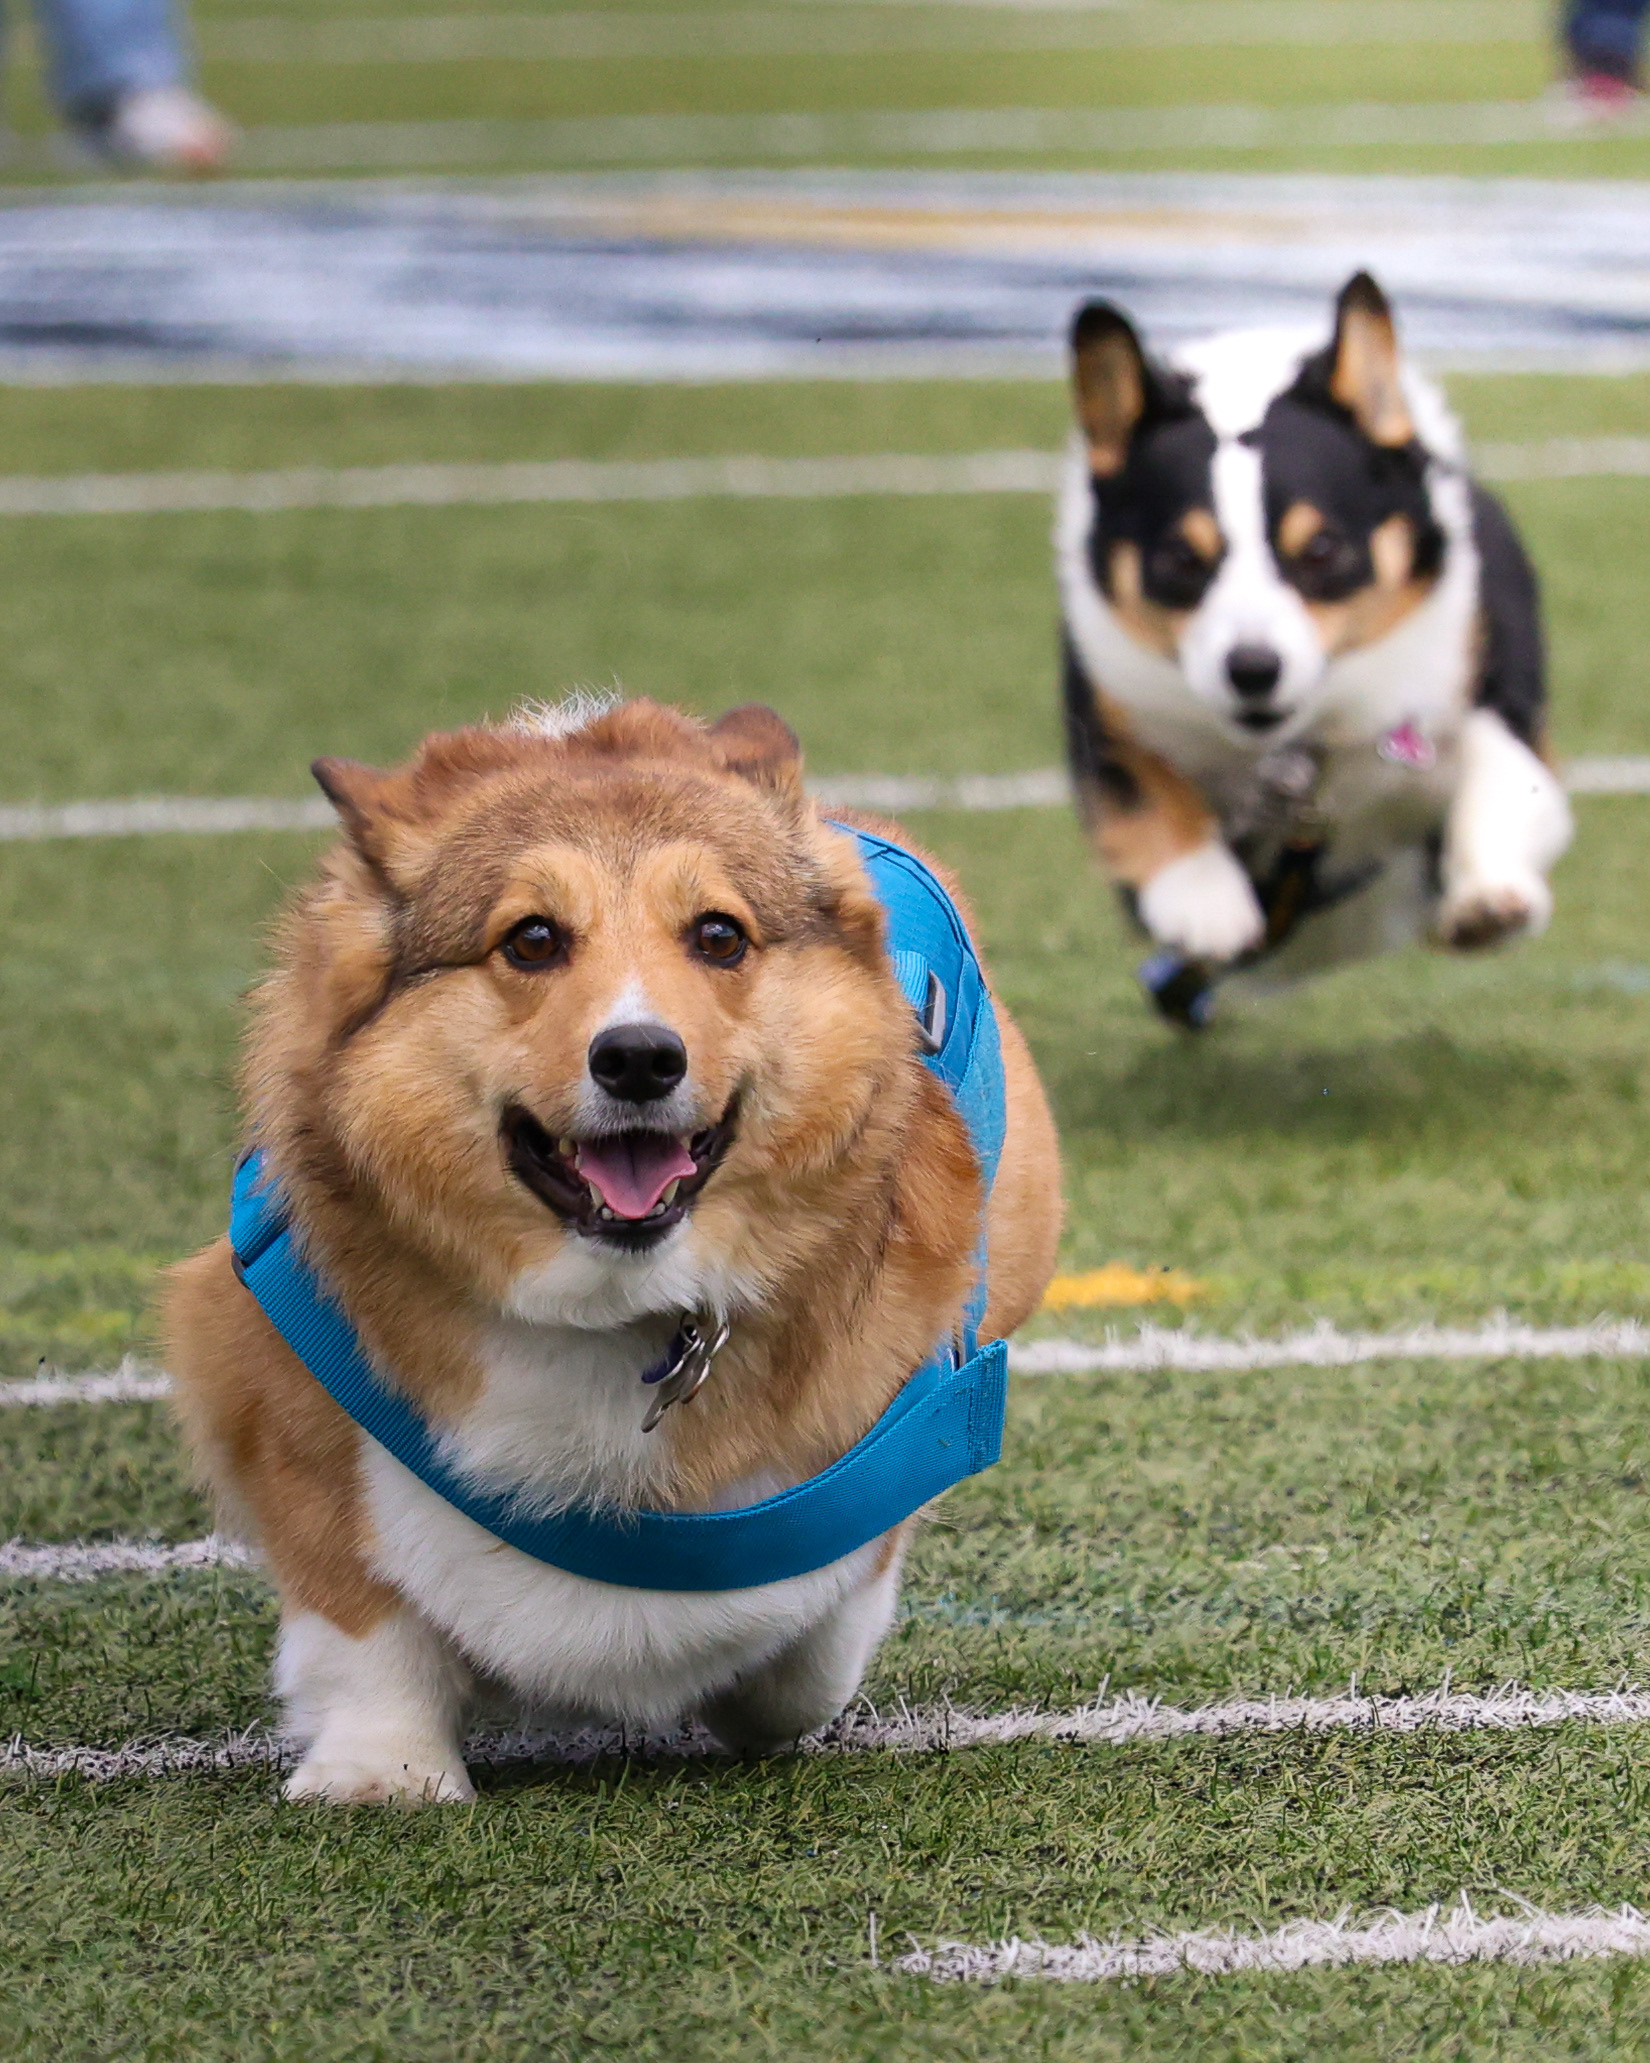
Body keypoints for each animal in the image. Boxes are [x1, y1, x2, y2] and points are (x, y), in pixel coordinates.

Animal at [163, 696, 1061, 1802]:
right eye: (532, 938)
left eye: (719, 934)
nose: (638, 1056)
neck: (621, 1307)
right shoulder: (264, 1373)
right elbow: (360, 1610)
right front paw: (383, 1771)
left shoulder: (912, 1416)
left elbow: (812, 1636)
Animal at [1056, 271, 1573, 1026]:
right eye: (1181, 559)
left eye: (1322, 549)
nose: (1252, 671)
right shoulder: (1107, 698)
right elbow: (1143, 789)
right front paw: (1204, 903)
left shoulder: (1488, 681)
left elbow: (1504, 773)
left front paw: (1488, 899)